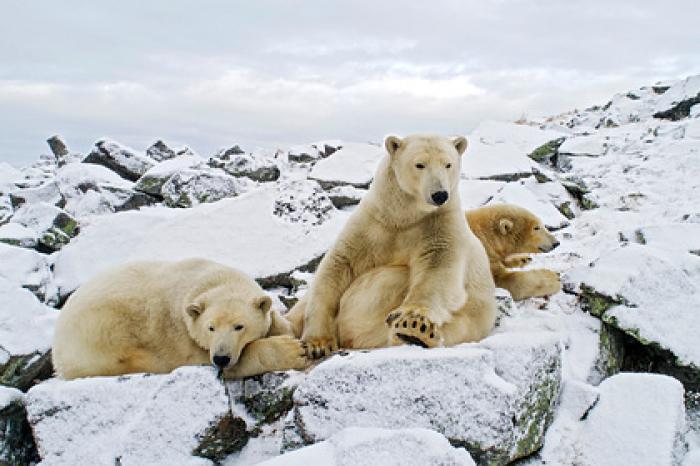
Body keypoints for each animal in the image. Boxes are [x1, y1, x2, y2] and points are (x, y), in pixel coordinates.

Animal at [52, 256, 306, 380]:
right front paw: (293, 350)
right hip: (101, 336)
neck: (209, 280)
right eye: (210, 328)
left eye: (239, 326)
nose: (221, 357)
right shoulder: (180, 334)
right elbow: (203, 358)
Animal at [292, 135, 500, 356]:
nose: (440, 195)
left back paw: (416, 336)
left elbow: (437, 271)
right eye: (420, 164)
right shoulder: (372, 224)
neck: (404, 216)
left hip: (471, 319)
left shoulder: (440, 224)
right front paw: (318, 343)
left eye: (448, 164)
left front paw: (414, 323)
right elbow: (338, 266)